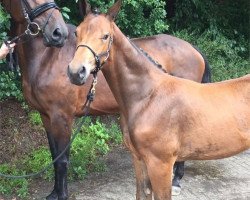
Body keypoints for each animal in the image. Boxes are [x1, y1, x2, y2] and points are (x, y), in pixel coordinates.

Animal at [0, 0, 211, 198]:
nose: (57, 33)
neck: (48, 59)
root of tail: (193, 49)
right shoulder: (46, 116)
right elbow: (54, 156)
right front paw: (53, 193)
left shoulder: (62, 117)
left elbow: (61, 160)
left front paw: (61, 195)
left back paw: (176, 181)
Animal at [67, 0, 250, 199]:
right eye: (77, 32)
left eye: (106, 36)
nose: (76, 72)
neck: (148, 97)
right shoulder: (139, 159)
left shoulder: (160, 164)